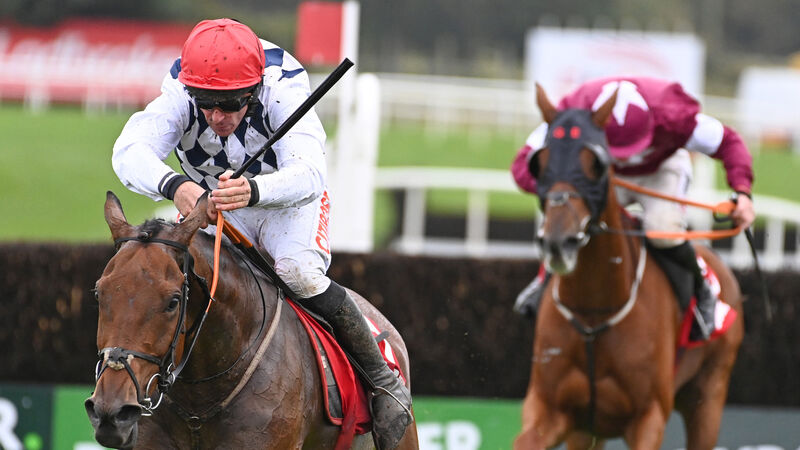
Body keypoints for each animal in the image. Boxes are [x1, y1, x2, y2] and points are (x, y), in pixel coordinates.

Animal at [514, 85, 744, 449]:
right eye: (540, 162)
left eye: (596, 163)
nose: (559, 241)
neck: (593, 313)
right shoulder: (551, 410)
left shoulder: (648, 417)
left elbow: (724, 140)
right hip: (586, 432)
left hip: (708, 397)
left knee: (664, 228)